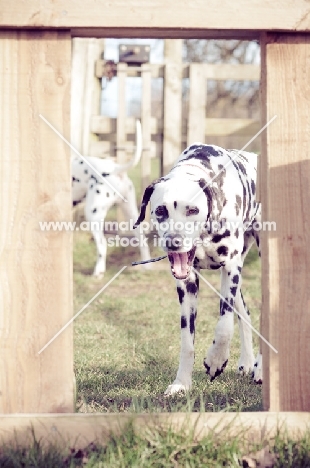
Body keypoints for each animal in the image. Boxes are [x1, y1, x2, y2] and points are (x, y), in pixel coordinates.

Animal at [71, 119, 151, 278]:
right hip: (131, 213)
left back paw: (98, 272)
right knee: (142, 239)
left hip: (93, 215)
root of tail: (115, 169)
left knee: (102, 245)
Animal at [134, 143, 262, 394]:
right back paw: (247, 361)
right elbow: (187, 342)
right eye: (160, 210)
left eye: (192, 210)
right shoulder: (187, 283)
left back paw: (260, 368)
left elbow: (224, 326)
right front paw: (181, 383)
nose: (173, 241)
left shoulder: (230, 267)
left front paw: (216, 360)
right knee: (245, 313)